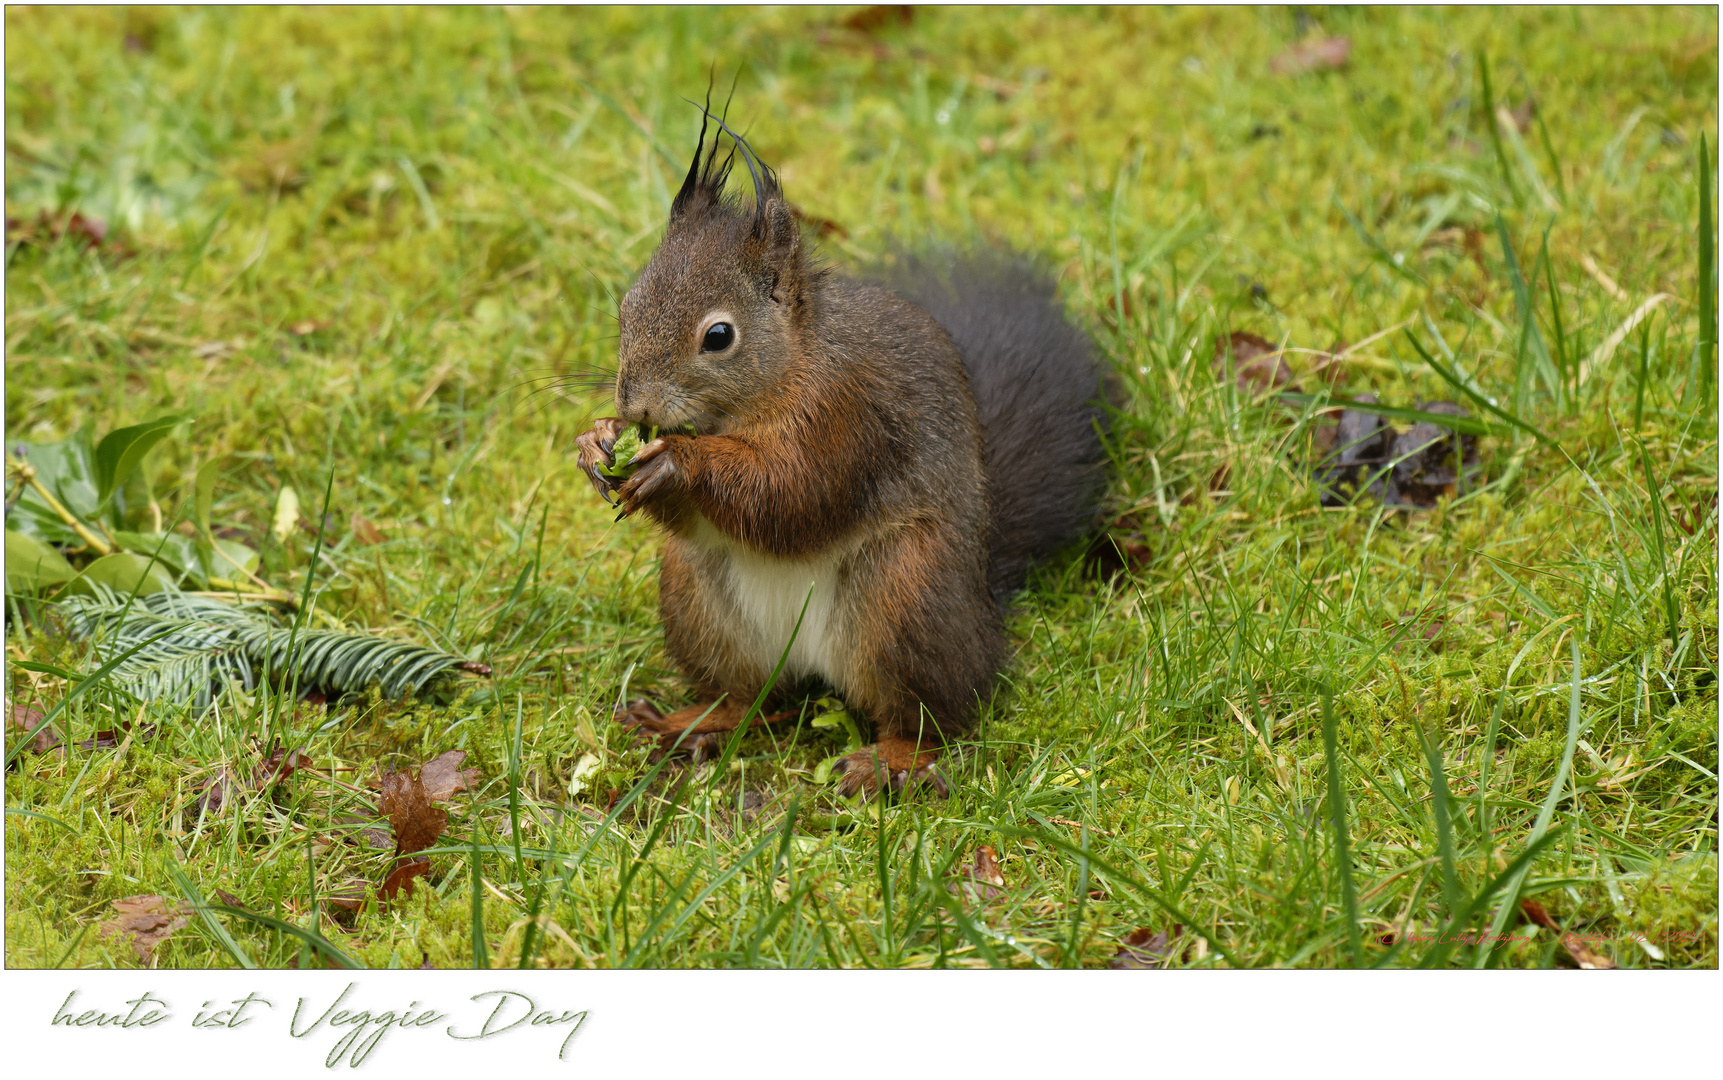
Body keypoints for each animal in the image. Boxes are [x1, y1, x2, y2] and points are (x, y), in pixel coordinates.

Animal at [572, 109, 1109, 799]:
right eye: (627, 306)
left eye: (718, 336)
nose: (634, 405)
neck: (775, 380)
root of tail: (984, 609)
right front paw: (595, 442)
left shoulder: (847, 414)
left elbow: (795, 493)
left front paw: (676, 465)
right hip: (698, 600)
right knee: (749, 697)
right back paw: (690, 722)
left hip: (907, 598)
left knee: (934, 713)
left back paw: (891, 761)